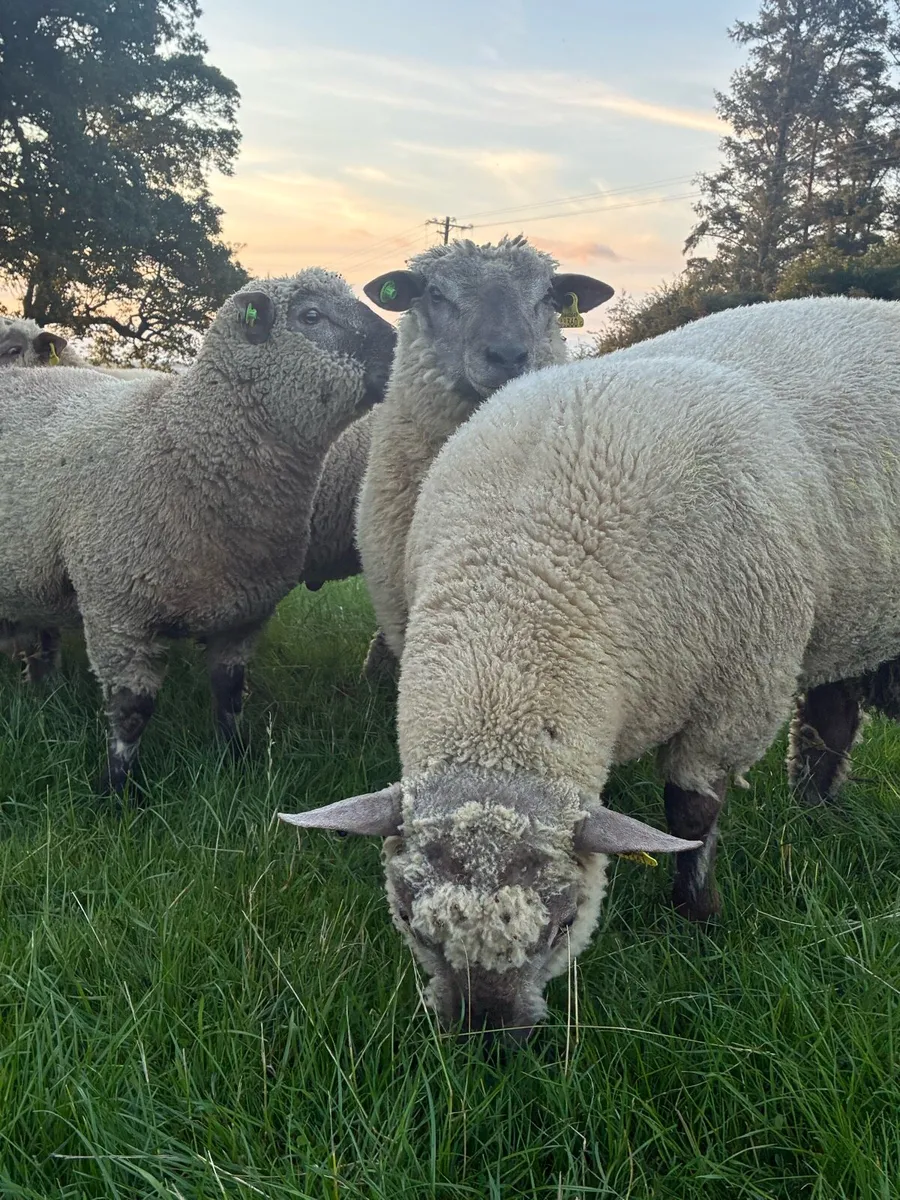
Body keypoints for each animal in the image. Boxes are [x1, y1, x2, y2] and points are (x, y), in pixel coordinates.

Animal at [0, 268, 396, 793]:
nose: (400, 349)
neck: (185, 443)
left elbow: (229, 695)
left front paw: (236, 760)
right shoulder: (117, 612)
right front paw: (117, 791)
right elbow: (132, 711)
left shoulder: (244, 614)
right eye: (311, 316)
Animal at [281, 295, 900, 1041]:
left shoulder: (736, 698)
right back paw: (816, 809)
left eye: (565, 923)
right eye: (409, 920)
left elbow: (692, 812)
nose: (489, 1039)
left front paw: (697, 914)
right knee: (833, 714)